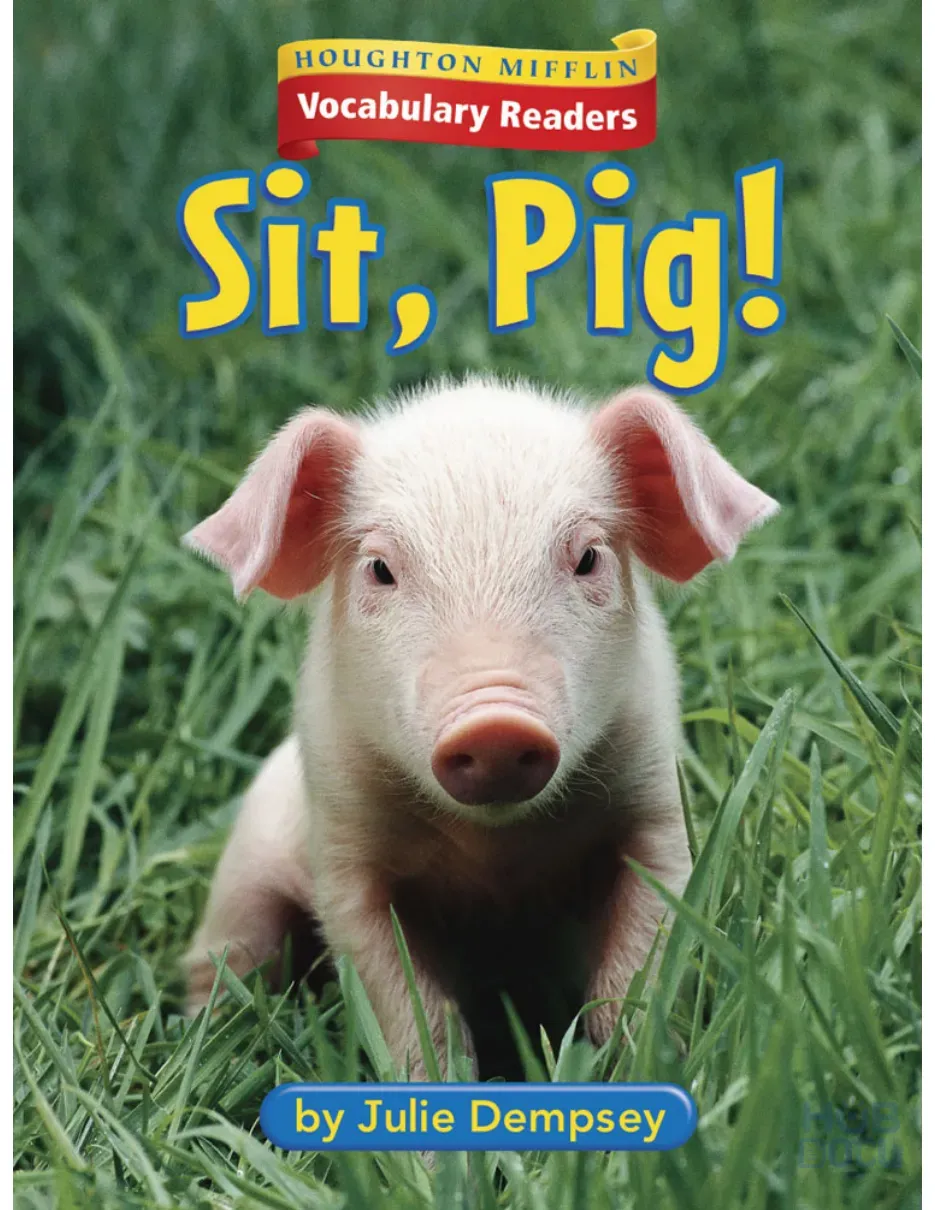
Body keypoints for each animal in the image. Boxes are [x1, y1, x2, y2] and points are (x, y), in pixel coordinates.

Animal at [182, 377, 778, 1078]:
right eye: (379, 568)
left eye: (588, 557)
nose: (494, 726)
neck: (498, 858)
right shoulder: (346, 848)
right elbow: (405, 999)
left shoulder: (655, 804)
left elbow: (642, 960)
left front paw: (634, 1068)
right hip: (245, 864)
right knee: (225, 955)